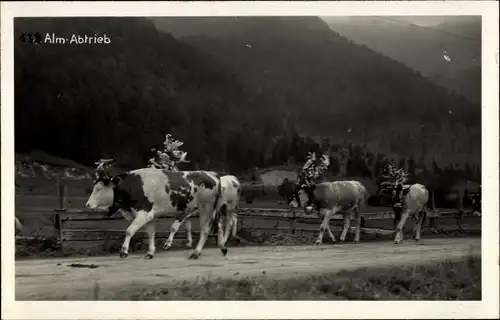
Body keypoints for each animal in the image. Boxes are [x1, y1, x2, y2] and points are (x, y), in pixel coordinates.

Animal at [85, 165, 225, 260]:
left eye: (99, 188)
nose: (87, 204)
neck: (133, 186)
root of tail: (212, 174)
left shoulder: (143, 213)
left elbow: (129, 231)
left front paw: (124, 251)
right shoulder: (149, 216)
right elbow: (151, 233)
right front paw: (150, 252)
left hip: (206, 208)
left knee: (205, 230)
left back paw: (196, 253)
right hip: (212, 211)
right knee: (219, 227)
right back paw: (223, 248)